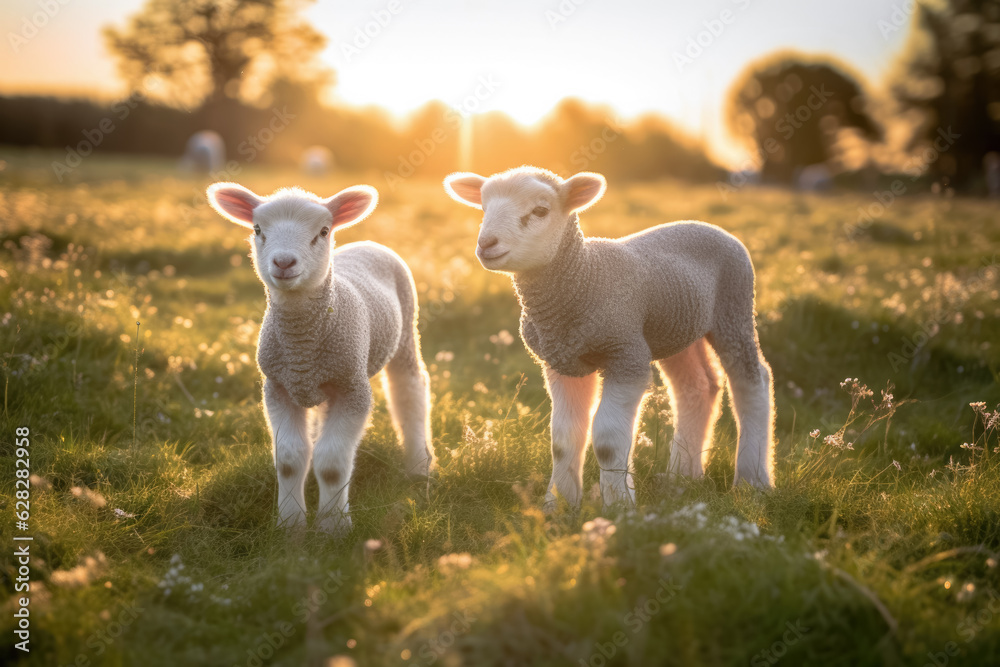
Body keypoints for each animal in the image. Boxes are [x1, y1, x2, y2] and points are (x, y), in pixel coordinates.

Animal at [206, 182, 433, 535]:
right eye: (257, 229)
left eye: (323, 231)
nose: (284, 262)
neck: (303, 342)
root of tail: (366, 242)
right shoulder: (278, 387)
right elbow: (289, 460)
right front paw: (291, 526)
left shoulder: (352, 388)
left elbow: (332, 464)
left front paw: (333, 528)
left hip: (407, 329)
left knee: (409, 391)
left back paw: (418, 465)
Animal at [443, 166, 775, 509]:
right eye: (483, 208)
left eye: (540, 211)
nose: (486, 243)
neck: (584, 277)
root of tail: (707, 225)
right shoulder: (562, 362)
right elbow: (563, 440)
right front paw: (558, 505)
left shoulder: (626, 354)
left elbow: (607, 441)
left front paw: (619, 506)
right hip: (676, 327)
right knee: (697, 386)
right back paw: (681, 478)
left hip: (733, 308)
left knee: (753, 381)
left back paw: (753, 480)